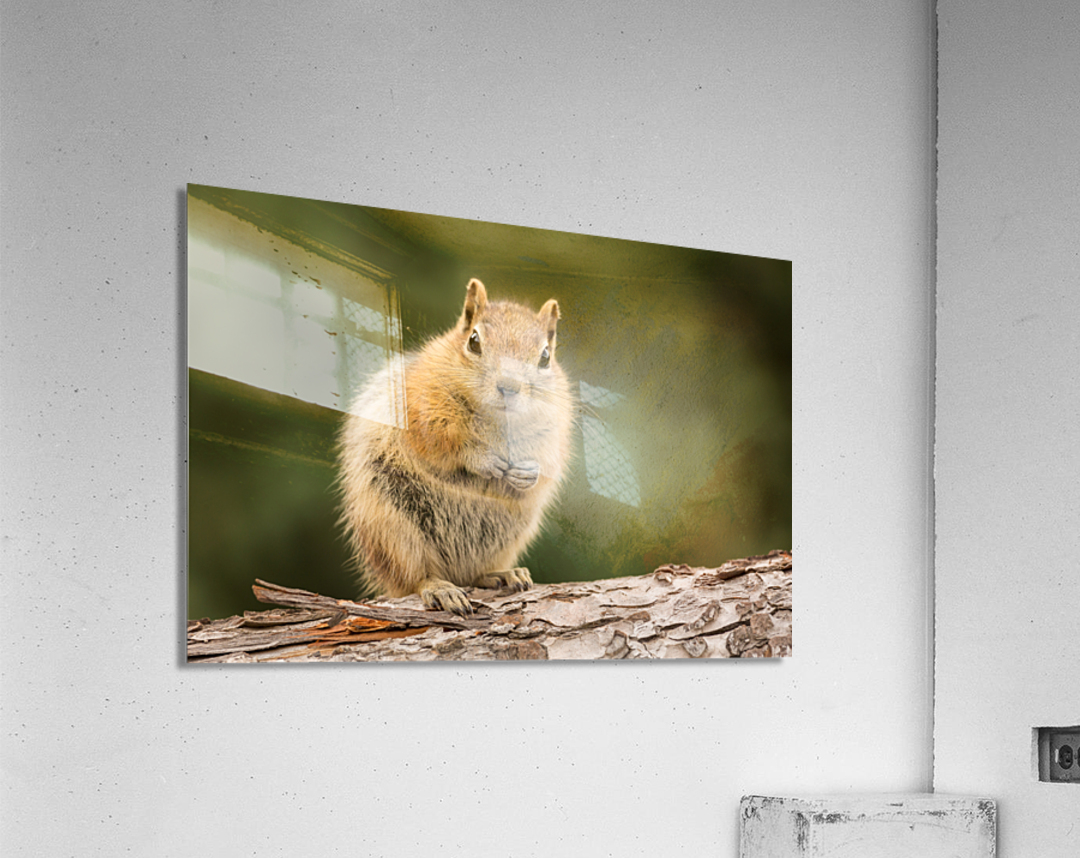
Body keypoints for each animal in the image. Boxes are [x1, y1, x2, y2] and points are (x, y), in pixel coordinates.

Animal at [337, 278, 574, 615]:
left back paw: (501, 574)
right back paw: (440, 588)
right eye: (474, 341)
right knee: (415, 575)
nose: (509, 387)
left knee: (475, 573)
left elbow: (550, 458)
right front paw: (482, 459)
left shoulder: (556, 422)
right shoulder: (419, 405)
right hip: (392, 526)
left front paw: (530, 472)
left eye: (545, 357)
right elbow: (440, 441)